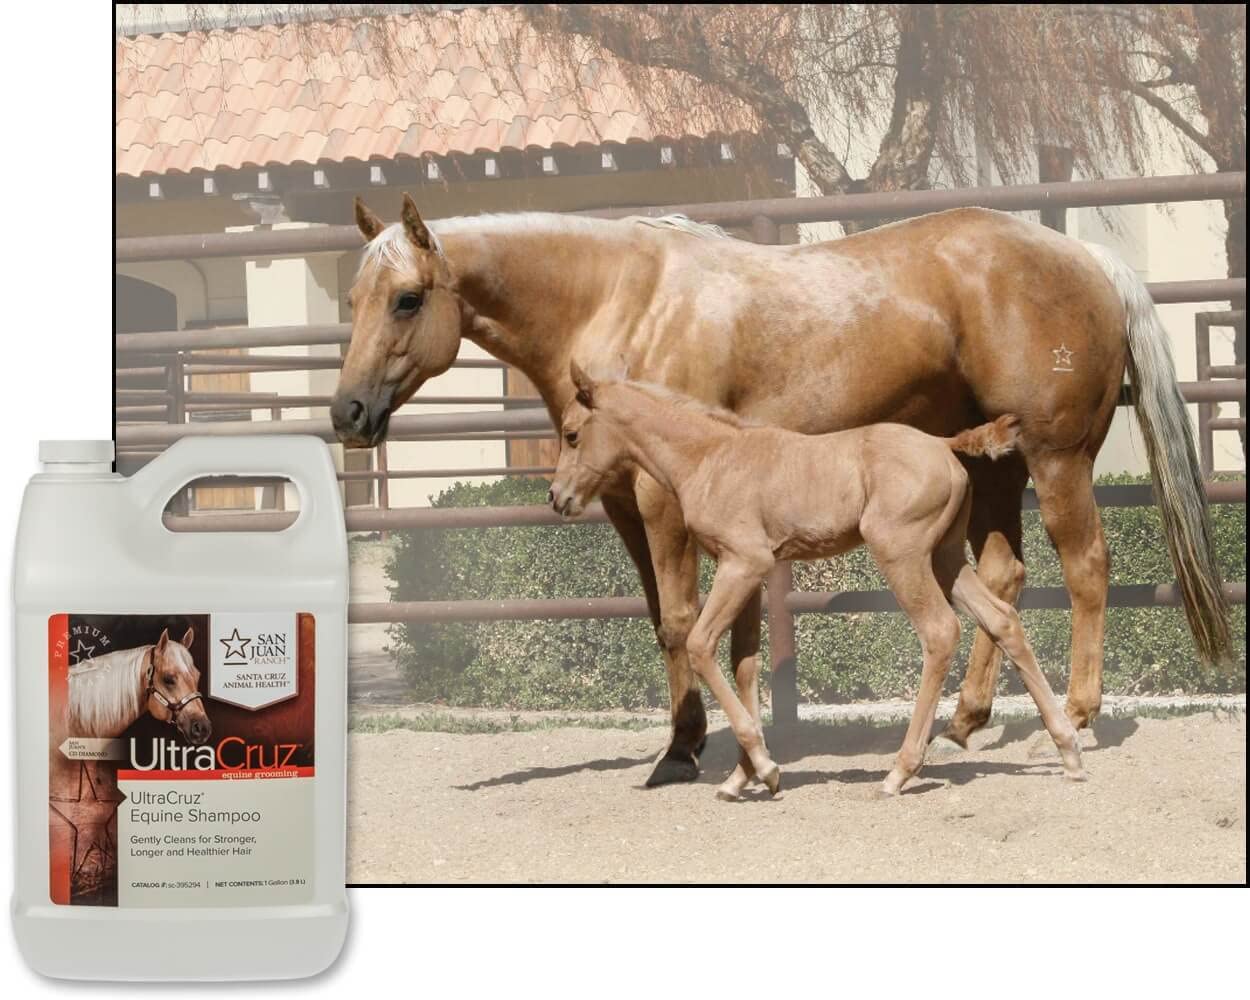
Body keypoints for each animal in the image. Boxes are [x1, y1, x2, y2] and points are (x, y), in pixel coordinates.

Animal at [549, 365, 1085, 798]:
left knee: (939, 632)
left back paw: (900, 771)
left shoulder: (742, 563)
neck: (710, 457)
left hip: (903, 555)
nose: (557, 497)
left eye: (572, 434)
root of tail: (942, 443)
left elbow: (701, 646)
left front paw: (765, 769)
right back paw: (1068, 751)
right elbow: (745, 664)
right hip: (946, 557)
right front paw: (742, 777)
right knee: (1003, 619)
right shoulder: (747, 570)